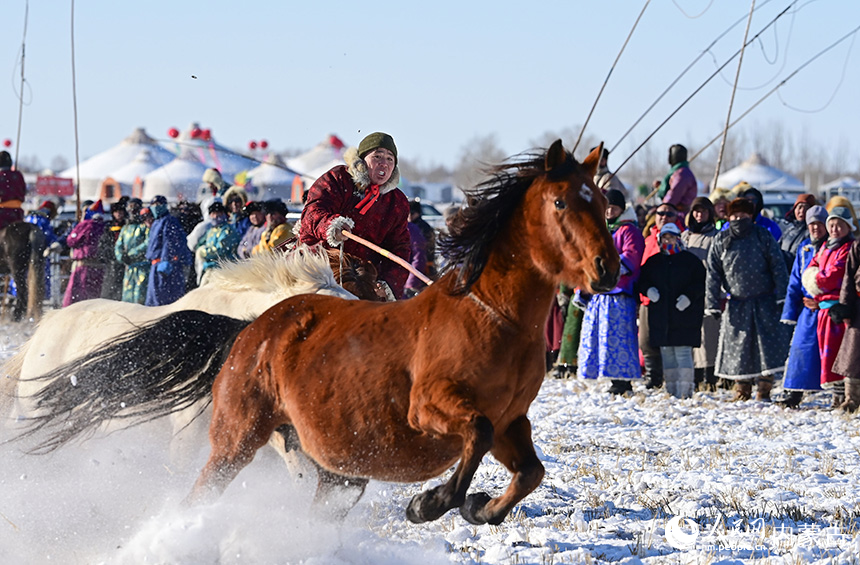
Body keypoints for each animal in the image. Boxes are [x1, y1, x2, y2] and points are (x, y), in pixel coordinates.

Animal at [190, 142, 620, 524]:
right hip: (238, 435)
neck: (493, 317)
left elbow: (531, 471)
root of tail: (254, 327)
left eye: (601, 203)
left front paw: (479, 508)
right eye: (561, 203)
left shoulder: (510, 421)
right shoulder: (430, 407)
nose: (607, 268)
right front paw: (429, 503)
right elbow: (477, 433)